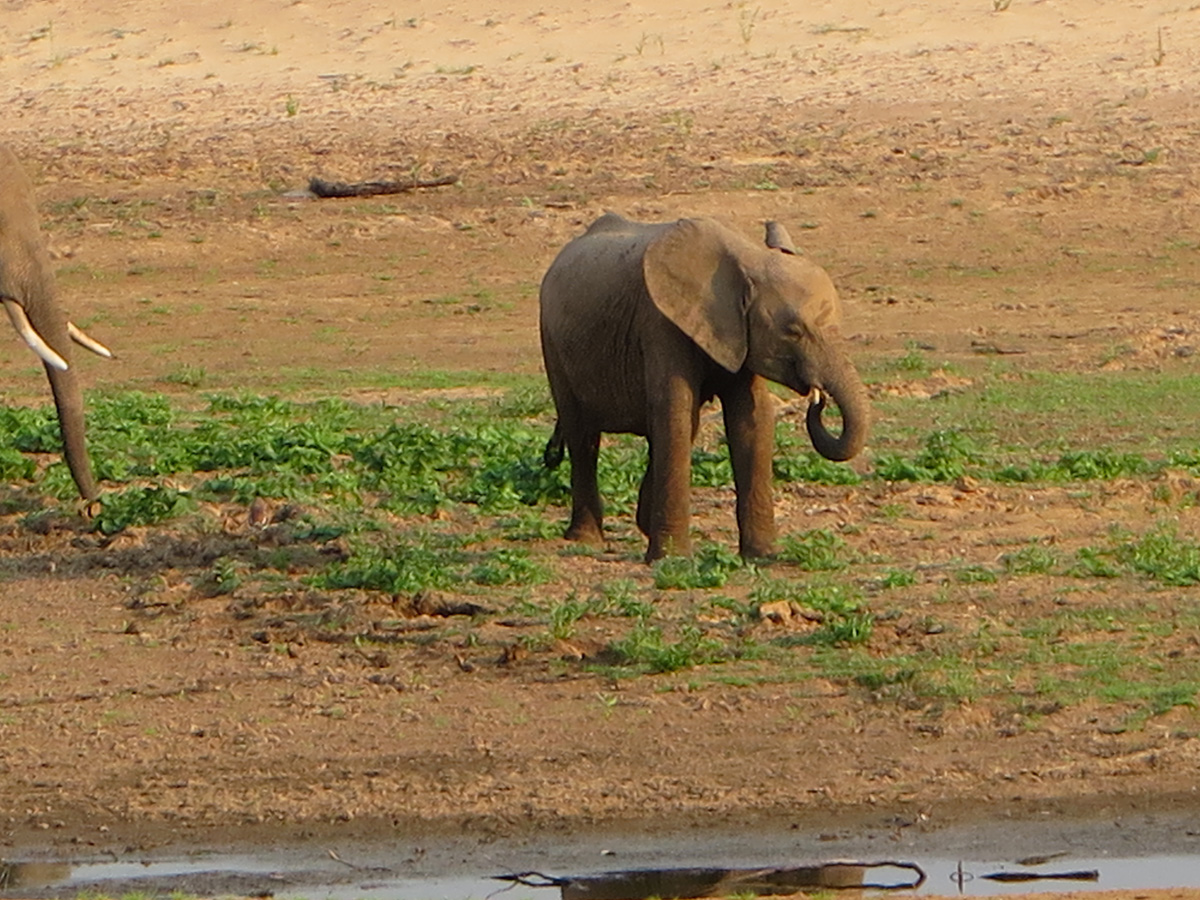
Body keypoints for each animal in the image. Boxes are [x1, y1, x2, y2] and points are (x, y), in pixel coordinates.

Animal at [539, 212, 869, 561]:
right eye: (793, 331)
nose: (817, 399)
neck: (748, 259)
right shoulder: (660, 323)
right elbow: (676, 412)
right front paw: (671, 559)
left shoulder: (738, 334)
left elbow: (752, 421)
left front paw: (763, 556)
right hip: (552, 342)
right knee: (582, 436)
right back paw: (585, 539)